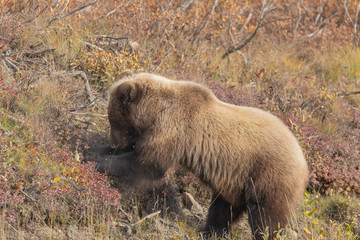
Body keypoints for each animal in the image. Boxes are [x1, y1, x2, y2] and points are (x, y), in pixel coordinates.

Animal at [97, 70, 308, 239]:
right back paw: (210, 231)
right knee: (223, 208)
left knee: (265, 216)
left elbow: (147, 164)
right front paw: (100, 150)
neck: (155, 112)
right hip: (235, 183)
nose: (115, 143)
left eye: (113, 119)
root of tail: (304, 160)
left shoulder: (174, 130)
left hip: (268, 175)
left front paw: (102, 162)